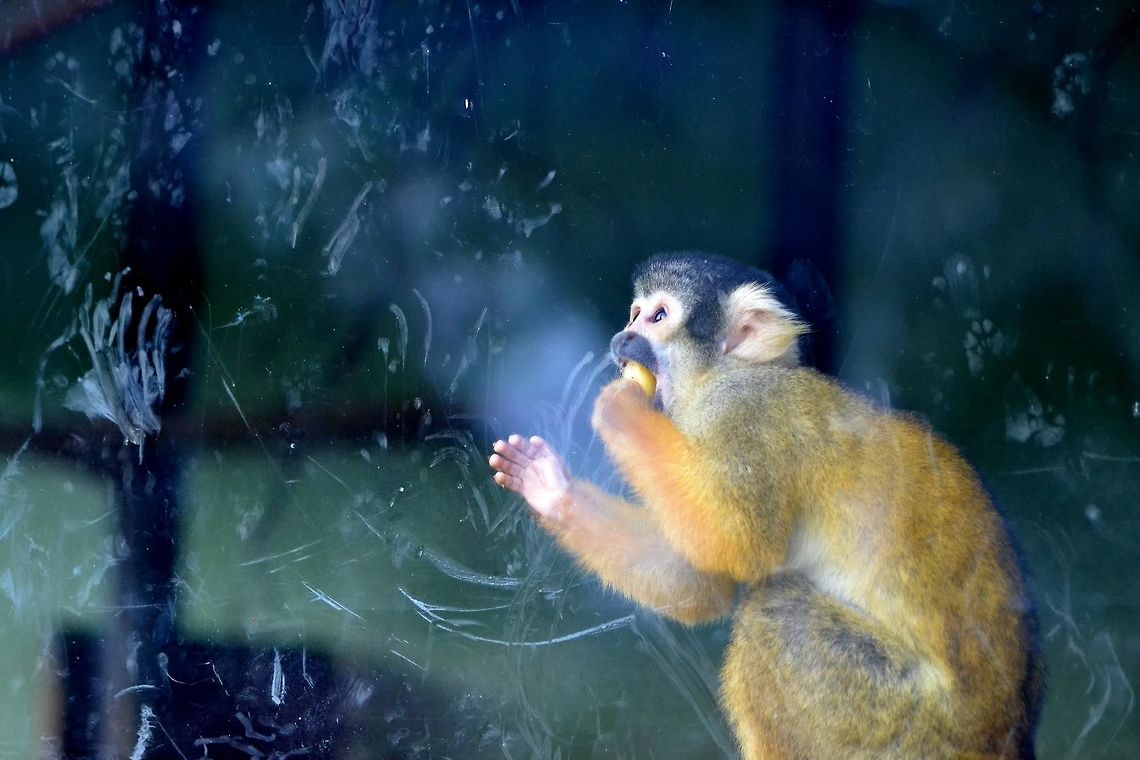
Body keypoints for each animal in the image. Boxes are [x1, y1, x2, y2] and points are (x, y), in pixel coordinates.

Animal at [489, 253, 1042, 759]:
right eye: (635, 313)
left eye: (658, 317)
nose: (621, 338)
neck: (717, 376)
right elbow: (698, 584)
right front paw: (551, 488)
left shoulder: (743, 412)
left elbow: (733, 542)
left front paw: (620, 408)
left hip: (902, 726)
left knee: (776, 614)